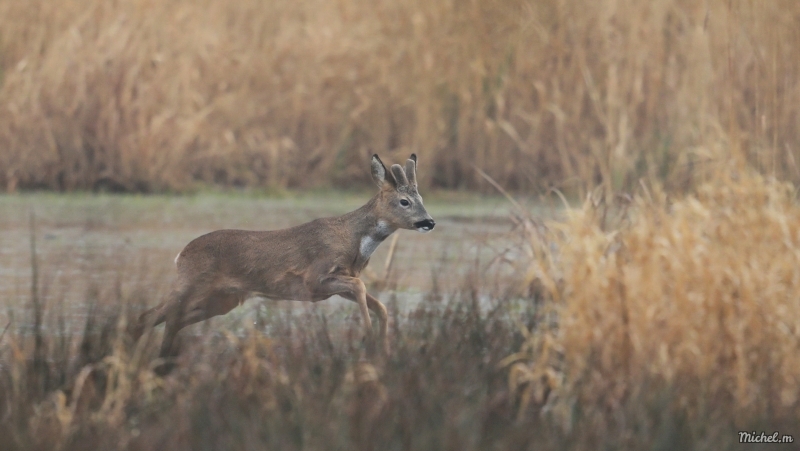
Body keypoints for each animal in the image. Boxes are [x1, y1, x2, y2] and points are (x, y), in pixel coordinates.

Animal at [133, 154, 432, 358]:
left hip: (222, 300)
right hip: (193, 284)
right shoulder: (315, 278)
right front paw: (368, 337)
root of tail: (180, 255)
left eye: (422, 200)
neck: (353, 240)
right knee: (153, 316)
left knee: (168, 319)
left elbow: (379, 305)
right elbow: (361, 286)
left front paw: (384, 348)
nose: (429, 221)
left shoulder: (335, 285)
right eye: (404, 202)